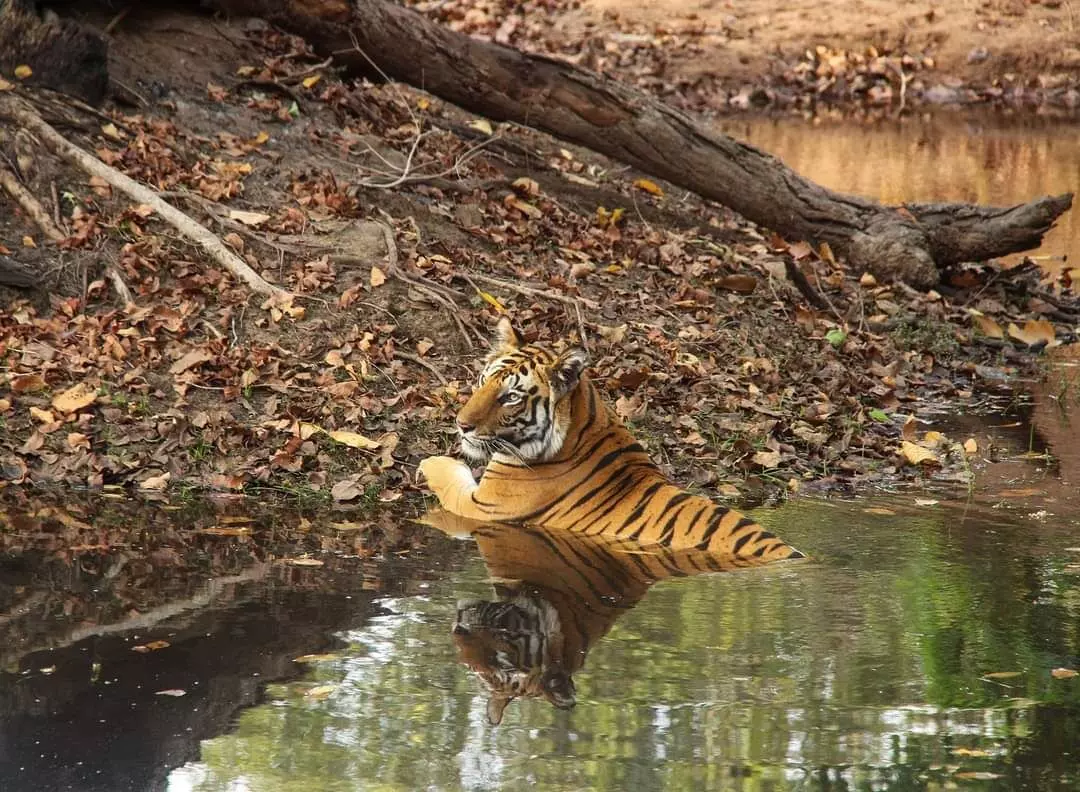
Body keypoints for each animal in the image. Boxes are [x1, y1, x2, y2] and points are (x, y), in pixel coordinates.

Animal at [416, 317, 807, 561]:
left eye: (510, 397)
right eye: (484, 381)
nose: (461, 424)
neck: (583, 424)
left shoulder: (480, 507)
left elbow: (446, 475)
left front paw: (428, 462)